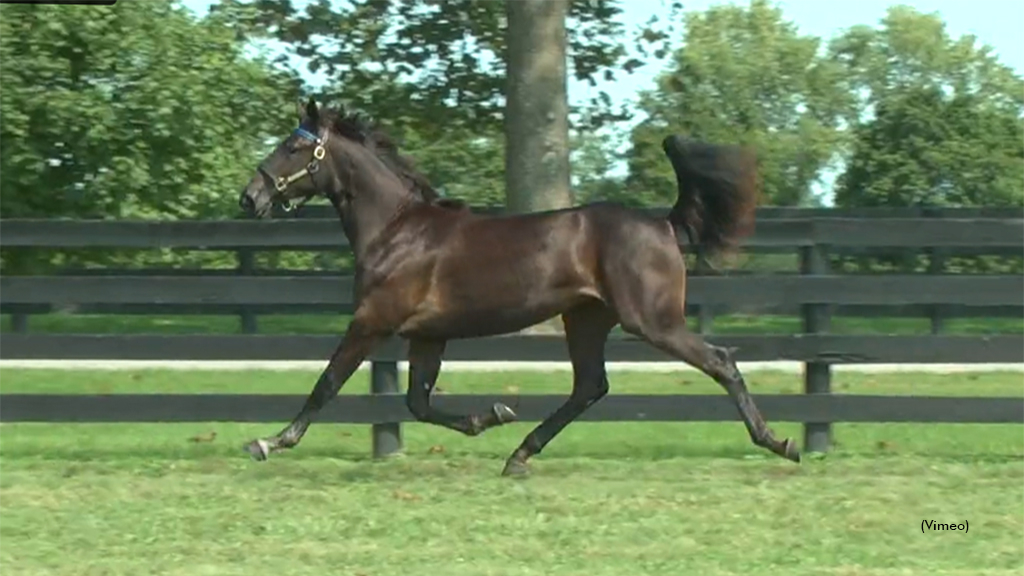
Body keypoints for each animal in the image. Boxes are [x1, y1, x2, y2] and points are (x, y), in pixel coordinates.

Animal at [237, 99, 798, 475]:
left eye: (293, 146)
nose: (250, 197)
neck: (398, 230)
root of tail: (661, 223)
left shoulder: (373, 322)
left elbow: (327, 384)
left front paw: (270, 442)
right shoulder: (427, 336)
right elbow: (418, 403)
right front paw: (491, 415)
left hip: (653, 320)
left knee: (720, 362)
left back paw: (779, 443)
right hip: (586, 319)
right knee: (590, 387)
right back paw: (519, 453)